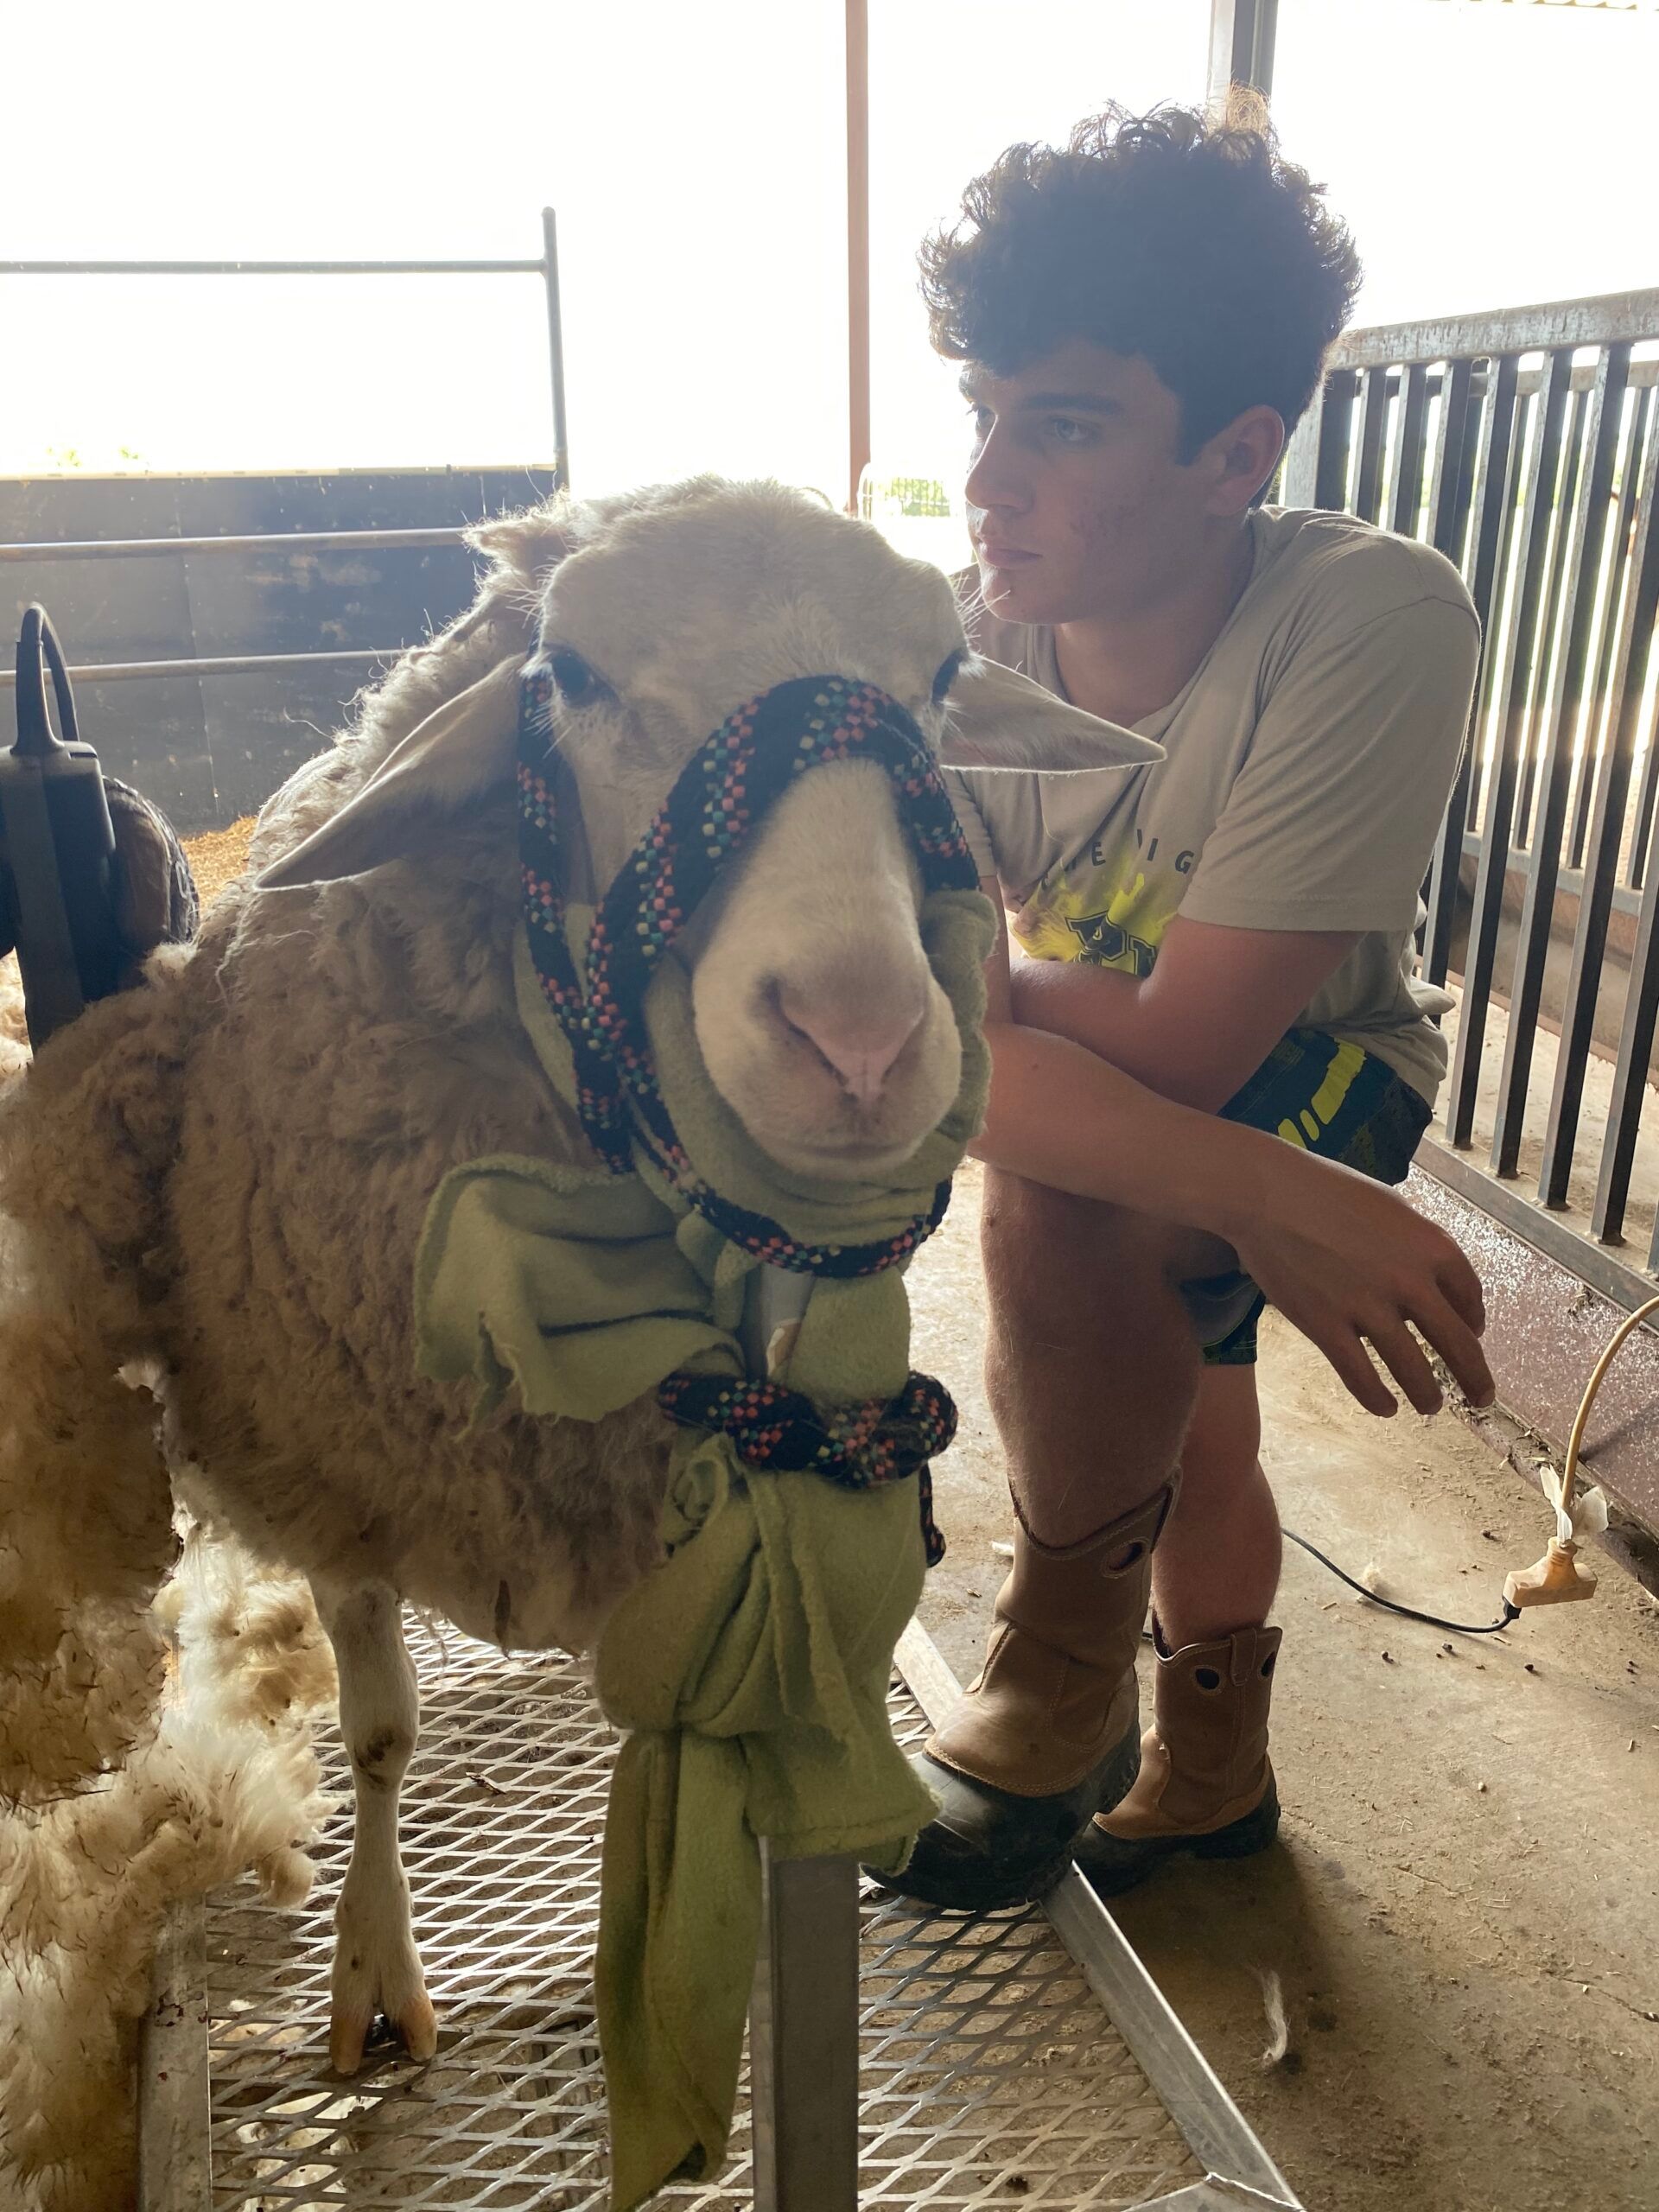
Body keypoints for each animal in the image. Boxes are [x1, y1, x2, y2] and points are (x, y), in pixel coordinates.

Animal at [0, 476, 1136, 2191]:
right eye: (571, 680)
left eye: (942, 677)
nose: (862, 1043)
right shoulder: (345, 1485)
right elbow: (383, 1735)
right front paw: (372, 1980)